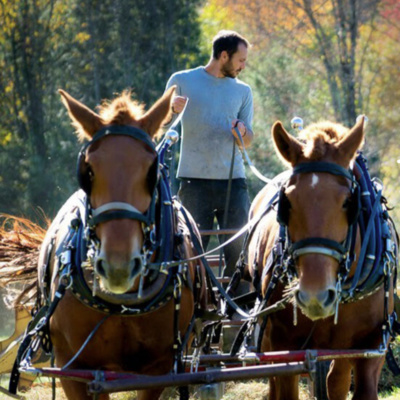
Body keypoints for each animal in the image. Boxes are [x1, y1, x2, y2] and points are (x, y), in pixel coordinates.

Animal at [5, 88, 206, 400]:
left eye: (152, 171)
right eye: (88, 171)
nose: (118, 266)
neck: (121, 304)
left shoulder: (157, 370)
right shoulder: (74, 368)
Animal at [245, 117, 398, 398]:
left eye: (348, 202)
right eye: (288, 202)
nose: (314, 296)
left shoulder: (372, 345)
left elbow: (344, 383)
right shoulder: (284, 343)